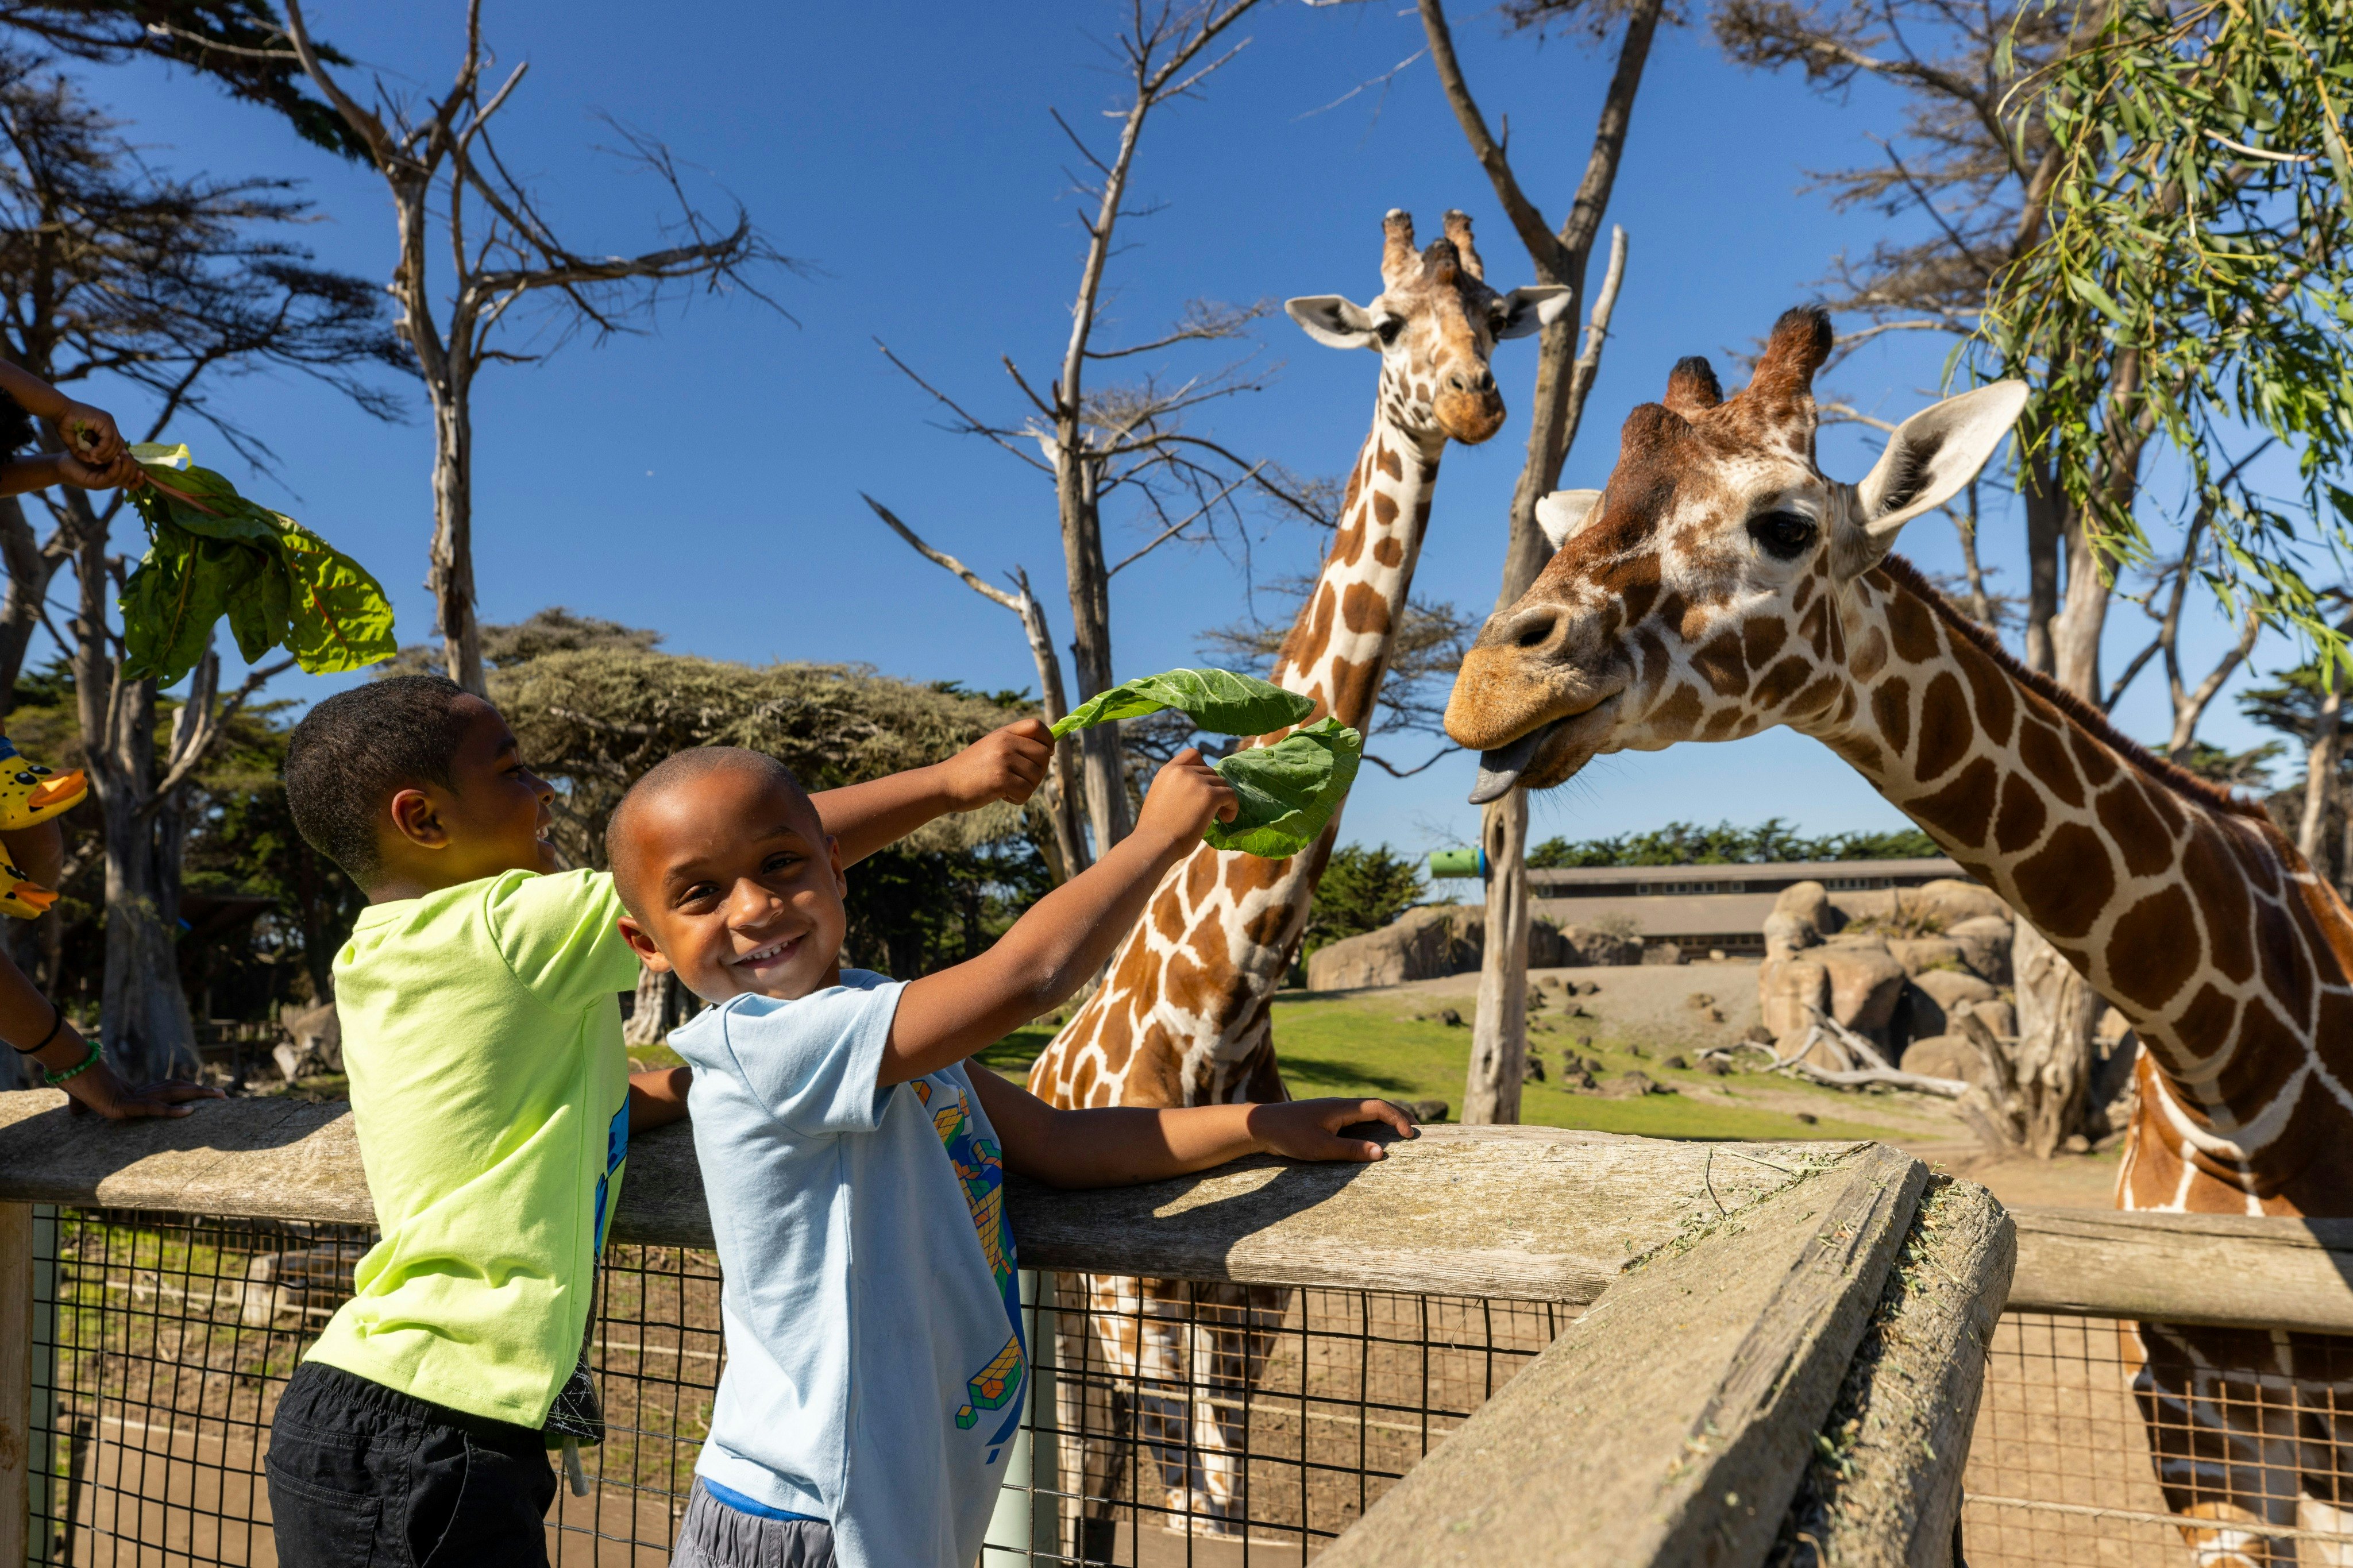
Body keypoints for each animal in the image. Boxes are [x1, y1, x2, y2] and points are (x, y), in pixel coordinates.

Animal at [1025, 202, 1562, 1551]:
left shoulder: (1249, 1324)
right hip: (1081, 1329)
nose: (1474, 401)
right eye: (1385, 323)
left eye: (1495, 316)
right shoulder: (1144, 1318)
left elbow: (1229, 1509)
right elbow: (1192, 1516)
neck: (1223, 1004)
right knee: (1082, 1488)